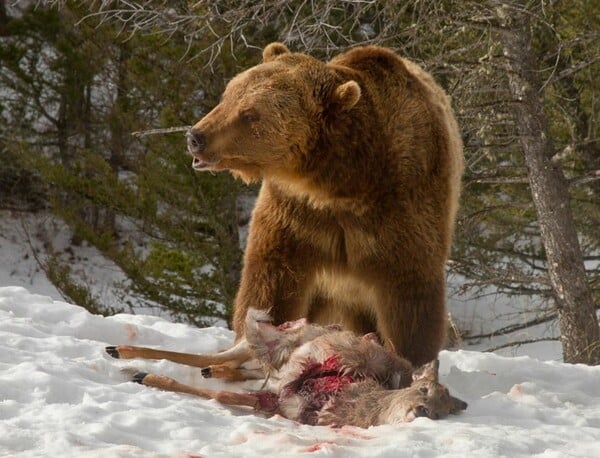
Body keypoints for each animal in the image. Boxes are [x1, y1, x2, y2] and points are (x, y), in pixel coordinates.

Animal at [188, 41, 464, 366]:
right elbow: (272, 279)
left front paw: (411, 358)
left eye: (250, 114)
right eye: (228, 95)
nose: (196, 136)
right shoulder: (294, 213)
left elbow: (411, 289)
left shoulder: (401, 207)